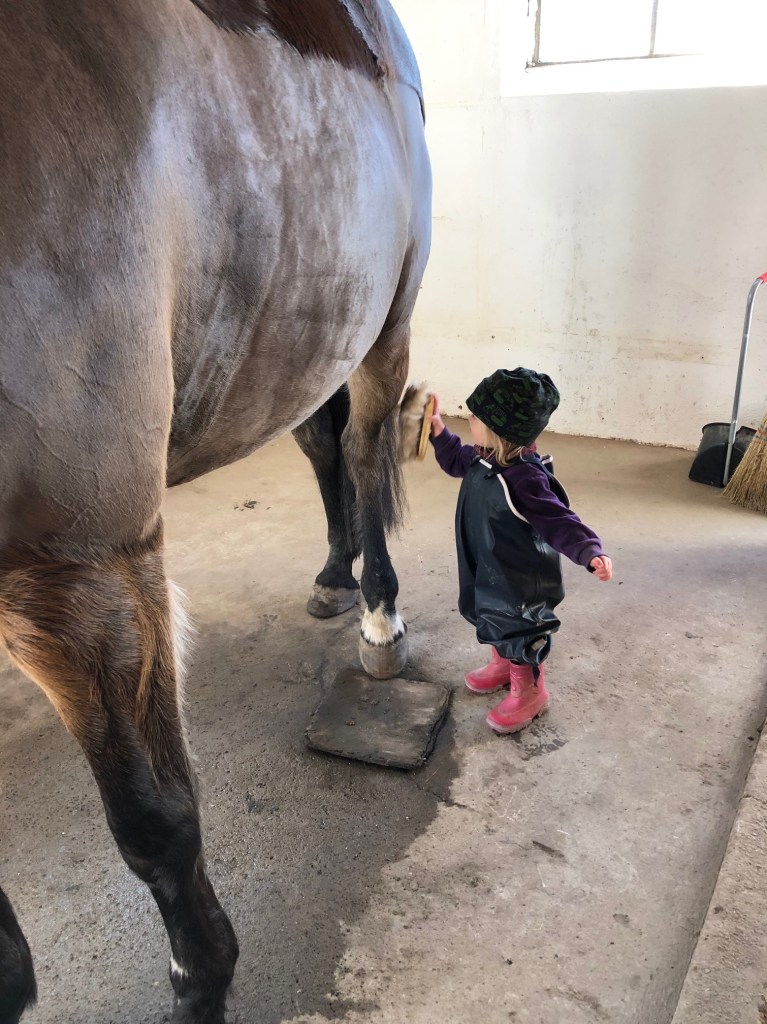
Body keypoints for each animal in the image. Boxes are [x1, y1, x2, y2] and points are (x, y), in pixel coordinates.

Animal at [0, 2, 431, 1020]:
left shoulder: (75, 563)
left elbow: (155, 822)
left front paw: (205, 979)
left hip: (385, 326)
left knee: (364, 447)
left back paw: (379, 619)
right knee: (324, 448)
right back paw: (333, 576)